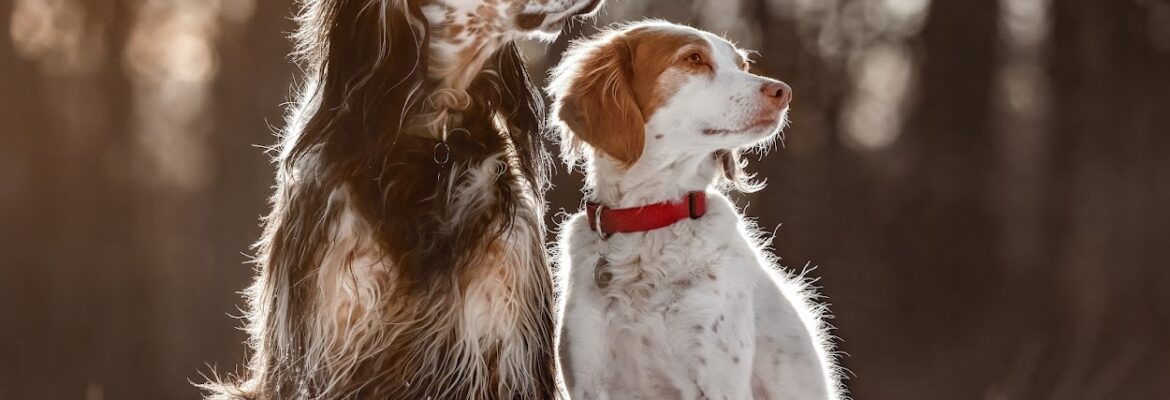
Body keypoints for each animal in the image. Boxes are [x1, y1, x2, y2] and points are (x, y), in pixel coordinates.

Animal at [547, 22, 842, 399]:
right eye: (694, 59)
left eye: (742, 65)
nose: (783, 91)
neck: (650, 221)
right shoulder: (589, 376)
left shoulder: (717, 378)